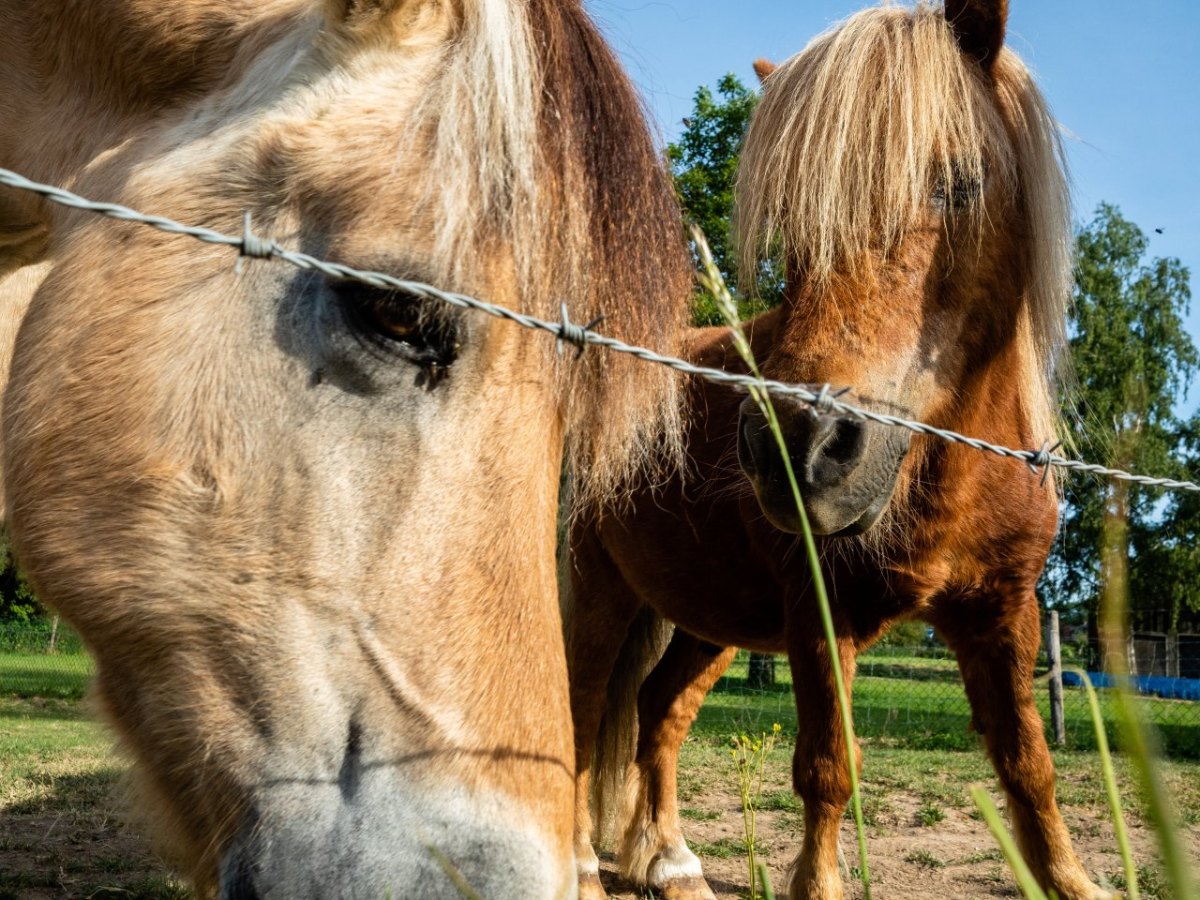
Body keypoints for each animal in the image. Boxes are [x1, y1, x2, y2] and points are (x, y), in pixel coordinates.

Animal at [561, 1, 1104, 900]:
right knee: (583, 705)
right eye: (789, 219)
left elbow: (1029, 766)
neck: (949, 469)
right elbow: (827, 769)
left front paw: (1072, 879)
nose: (801, 442)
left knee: (658, 710)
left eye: (960, 184)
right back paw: (577, 864)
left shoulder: (1004, 613)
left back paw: (671, 862)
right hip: (605, 588)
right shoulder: (822, 612)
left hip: (715, 618)